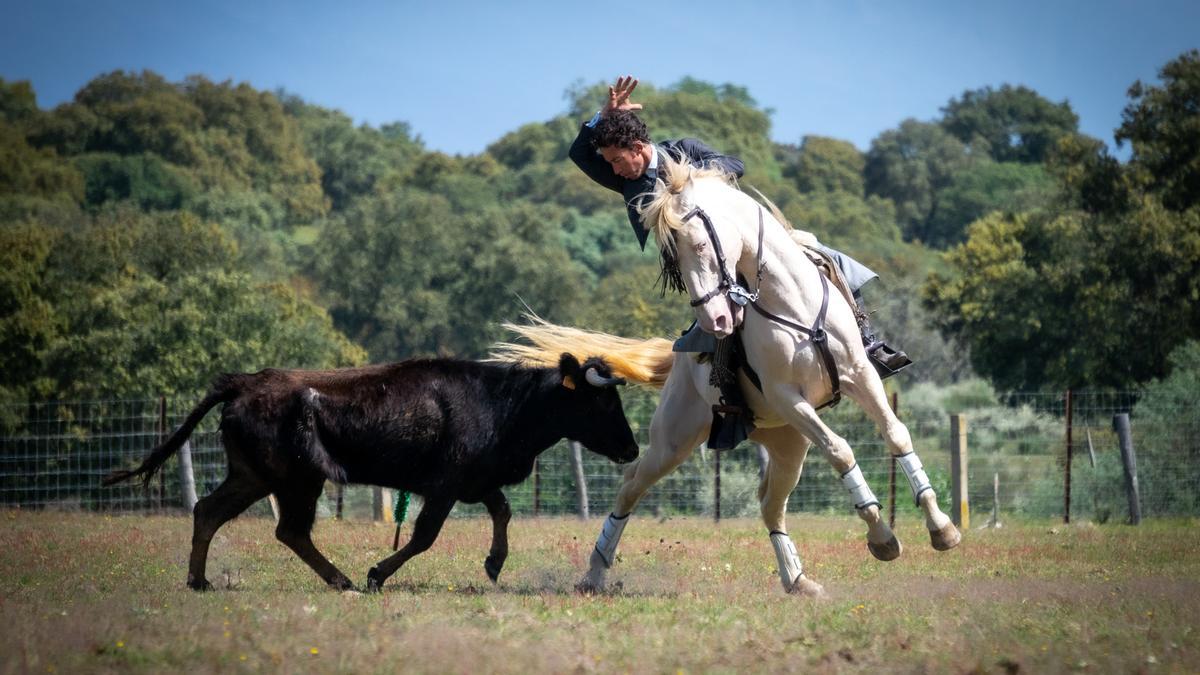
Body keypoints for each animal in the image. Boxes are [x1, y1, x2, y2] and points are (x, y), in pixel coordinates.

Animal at [492, 154, 960, 590]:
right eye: (672, 260)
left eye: (701, 245)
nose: (717, 319)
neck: (792, 305)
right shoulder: (790, 398)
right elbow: (841, 450)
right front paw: (882, 537)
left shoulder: (860, 375)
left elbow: (896, 434)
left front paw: (942, 529)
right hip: (676, 441)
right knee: (631, 484)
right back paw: (594, 572)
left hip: (787, 443)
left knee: (770, 505)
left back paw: (798, 581)